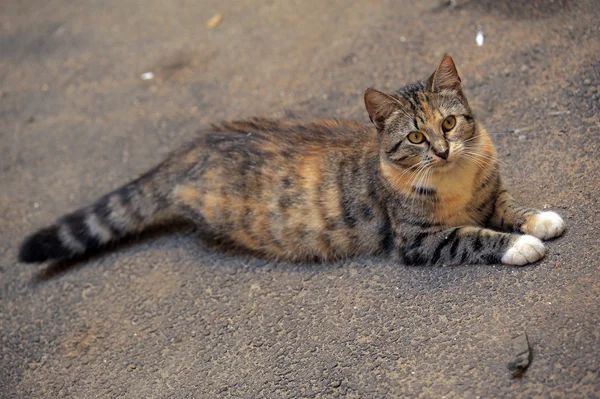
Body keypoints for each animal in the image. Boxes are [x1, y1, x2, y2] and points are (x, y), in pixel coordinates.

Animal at [17, 54, 564, 268]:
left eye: (448, 124)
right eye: (414, 136)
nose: (443, 150)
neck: (455, 179)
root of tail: (193, 144)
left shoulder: (491, 192)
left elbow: (510, 207)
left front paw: (539, 219)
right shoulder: (417, 239)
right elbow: (473, 236)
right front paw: (519, 246)